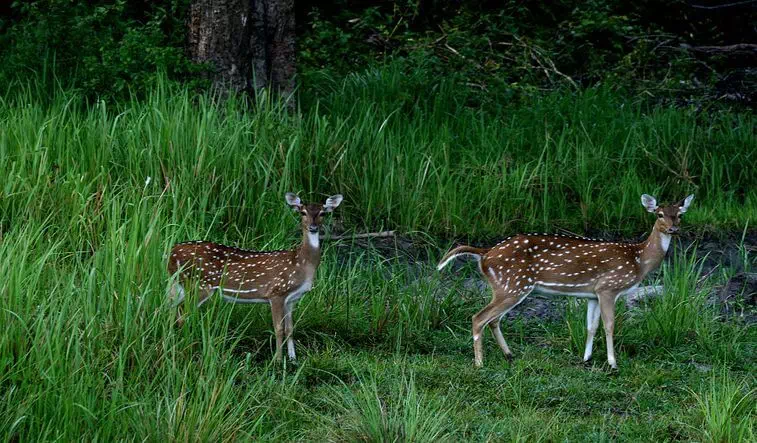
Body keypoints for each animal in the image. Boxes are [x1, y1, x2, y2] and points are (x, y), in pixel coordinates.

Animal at [168, 193, 342, 362]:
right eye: (302, 212)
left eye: (323, 213)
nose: (313, 227)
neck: (302, 264)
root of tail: (171, 253)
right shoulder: (277, 292)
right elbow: (278, 329)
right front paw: (278, 361)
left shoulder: (292, 299)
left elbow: (290, 329)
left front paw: (293, 359)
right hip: (199, 285)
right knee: (183, 315)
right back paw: (185, 347)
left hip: (181, 285)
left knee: (172, 310)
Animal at [438, 194, 692, 372]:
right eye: (659, 214)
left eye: (679, 214)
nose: (673, 229)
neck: (638, 260)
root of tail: (485, 254)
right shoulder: (609, 287)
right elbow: (610, 325)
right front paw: (612, 363)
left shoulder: (592, 294)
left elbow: (591, 326)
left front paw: (586, 358)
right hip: (512, 285)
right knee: (479, 317)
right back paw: (479, 363)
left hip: (506, 287)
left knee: (493, 319)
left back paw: (510, 356)